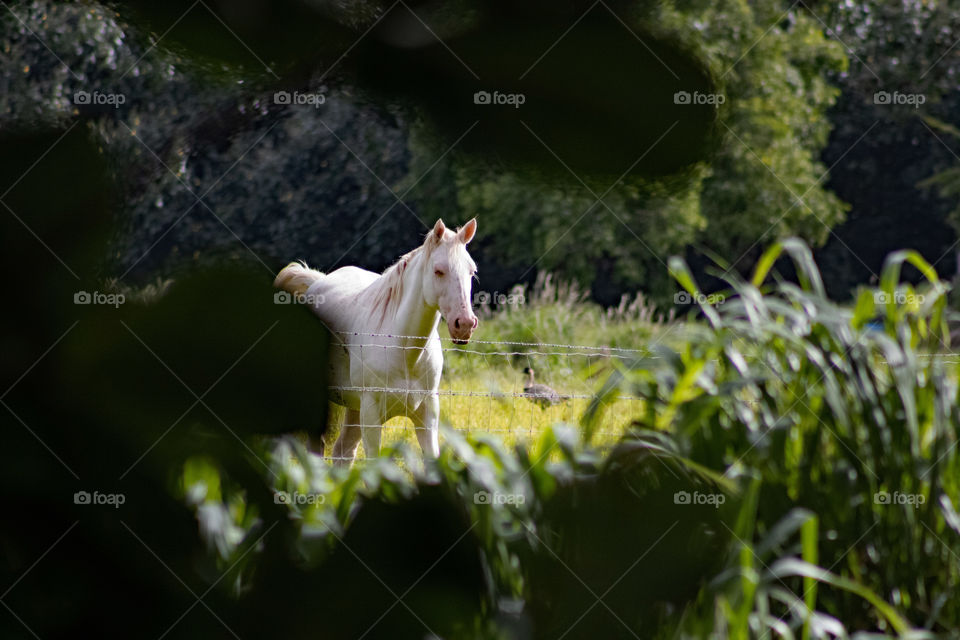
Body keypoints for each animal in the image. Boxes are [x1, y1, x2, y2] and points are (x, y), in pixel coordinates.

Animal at [274, 220, 476, 464]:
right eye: (439, 271)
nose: (465, 324)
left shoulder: (427, 415)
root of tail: (316, 283)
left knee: (343, 452)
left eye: (472, 271)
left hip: (354, 407)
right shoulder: (371, 416)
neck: (405, 350)